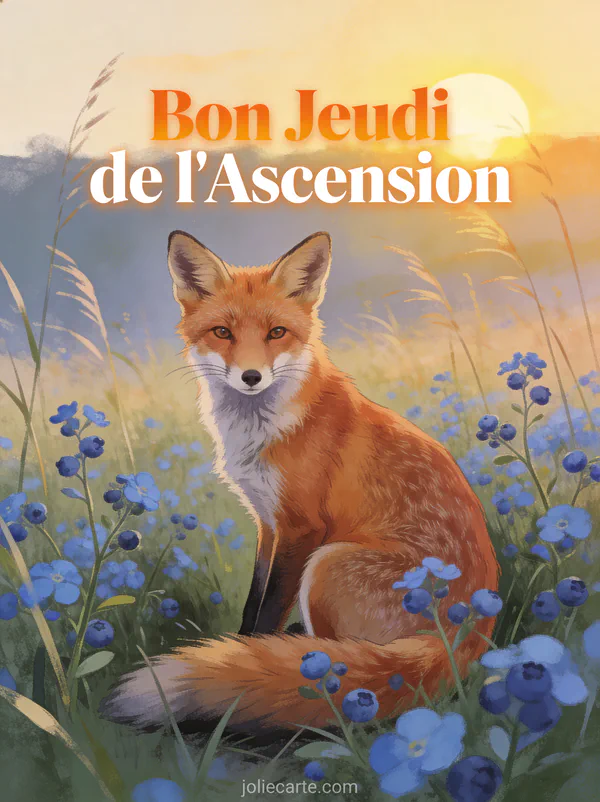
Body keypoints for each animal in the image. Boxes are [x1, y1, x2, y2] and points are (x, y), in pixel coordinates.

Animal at [101, 230, 498, 734]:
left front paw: (246, 662)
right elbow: (254, 601)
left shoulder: (302, 527)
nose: (251, 376)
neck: (262, 432)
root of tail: (463, 642)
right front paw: (241, 648)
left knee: (344, 663)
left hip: (327, 565)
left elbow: (269, 610)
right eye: (222, 332)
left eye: (277, 333)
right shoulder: (268, 521)